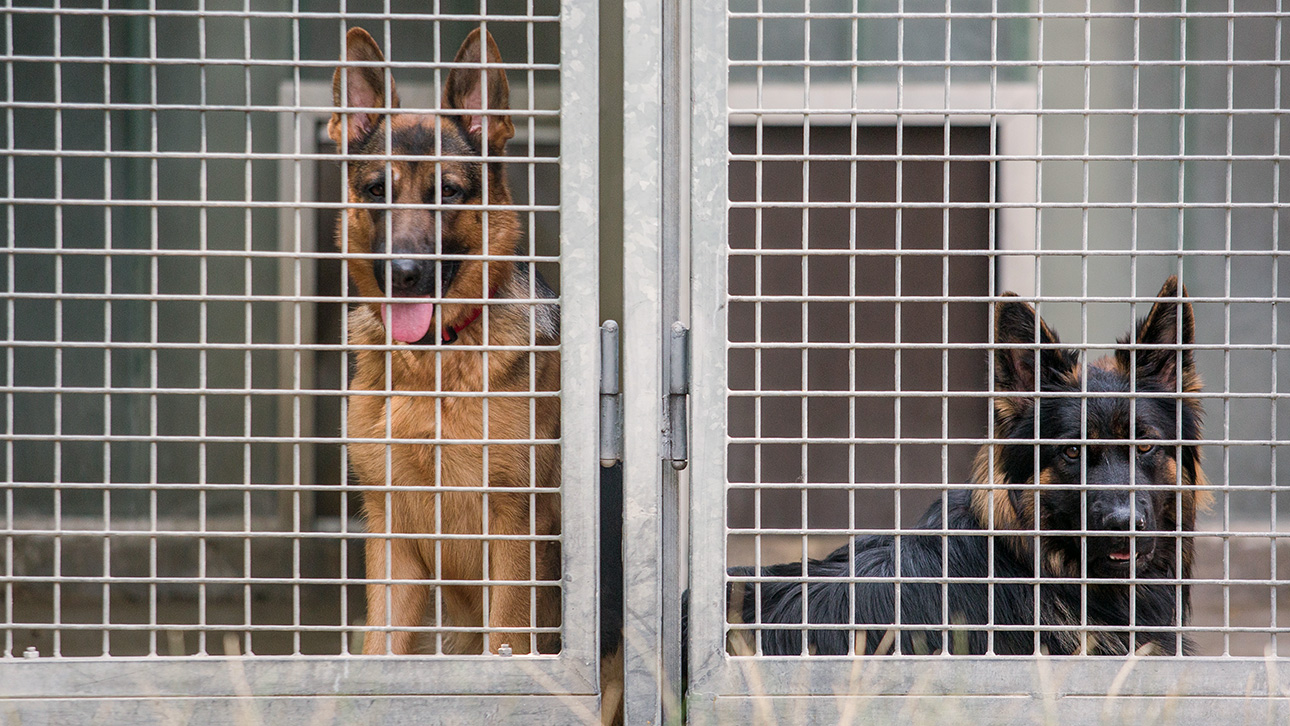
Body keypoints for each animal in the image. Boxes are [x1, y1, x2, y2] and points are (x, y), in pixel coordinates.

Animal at [327, 26, 559, 660]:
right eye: (377, 190)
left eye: (448, 193)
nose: (403, 273)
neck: (430, 365)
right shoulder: (391, 536)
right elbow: (379, 647)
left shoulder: (514, 531)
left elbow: (509, 642)